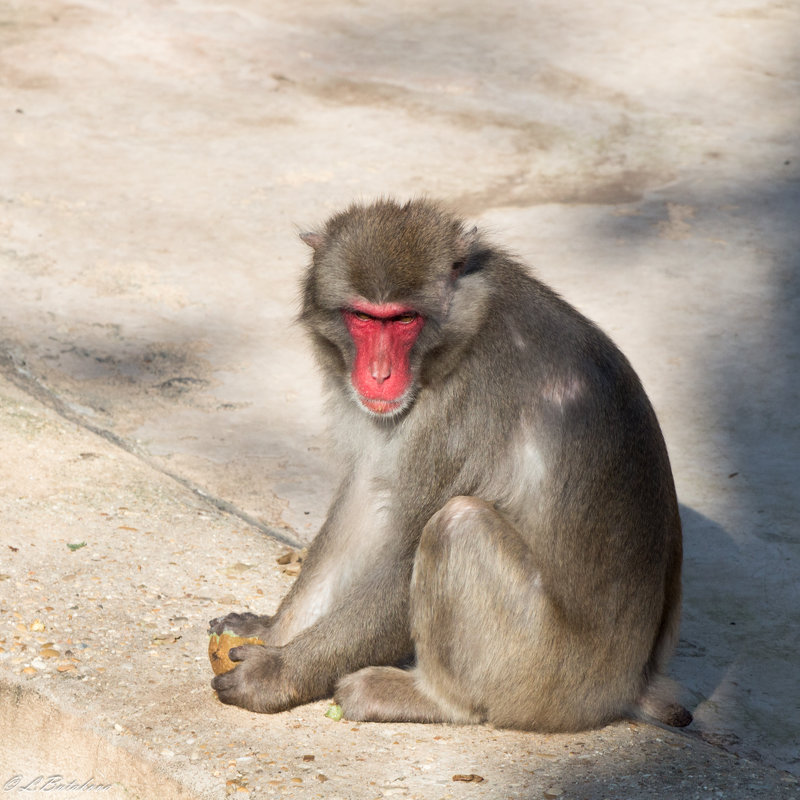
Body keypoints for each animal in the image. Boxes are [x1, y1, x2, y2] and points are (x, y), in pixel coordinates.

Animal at [209, 197, 692, 728]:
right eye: (363, 317)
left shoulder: (463, 410)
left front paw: (278, 673)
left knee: (456, 524)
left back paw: (430, 698)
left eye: (403, 320)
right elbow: (367, 501)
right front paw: (272, 632)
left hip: (543, 674)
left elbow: (404, 554)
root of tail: (631, 684)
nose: (379, 374)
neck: (462, 334)